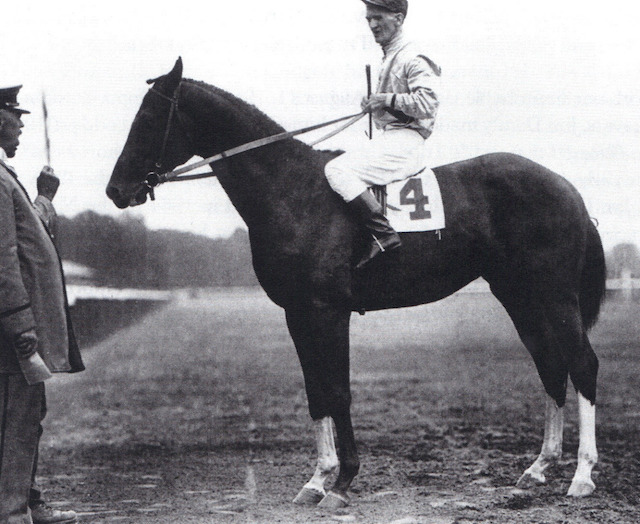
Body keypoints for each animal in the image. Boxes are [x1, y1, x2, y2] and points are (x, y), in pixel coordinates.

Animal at [106, 59, 604, 510]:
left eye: (149, 118)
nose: (116, 190)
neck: (293, 189)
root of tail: (569, 189)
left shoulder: (328, 310)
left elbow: (337, 391)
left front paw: (342, 482)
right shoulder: (298, 312)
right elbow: (316, 392)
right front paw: (317, 480)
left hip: (556, 295)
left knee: (582, 364)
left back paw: (581, 476)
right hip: (519, 295)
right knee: (550, 365)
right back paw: (538, 468)